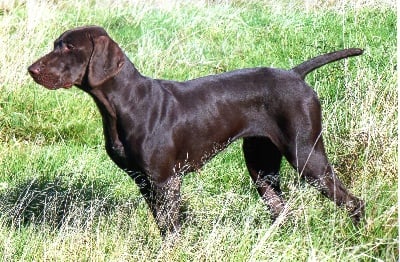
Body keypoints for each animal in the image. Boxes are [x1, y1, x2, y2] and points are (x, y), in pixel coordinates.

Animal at [28, 26, 366, 235]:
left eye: (69, 47)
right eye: (56, 45)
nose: (32, 69)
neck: (124, 104)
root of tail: (295, 74)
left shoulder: (165, 181)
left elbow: (171, 228)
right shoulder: (143, 181)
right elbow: (163, 226)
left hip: (307, 156)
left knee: (354, 203)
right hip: (261, 168)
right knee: (282, 210)